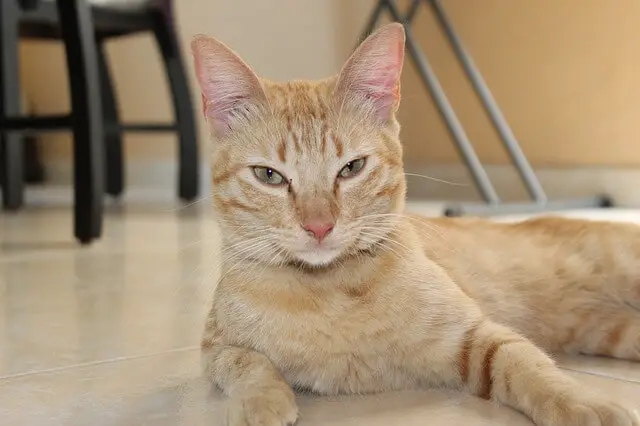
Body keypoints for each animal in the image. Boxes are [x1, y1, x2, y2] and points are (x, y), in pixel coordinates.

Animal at [190, 24, 640, 426]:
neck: (329, 289)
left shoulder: (474, 337)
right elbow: (245, 362)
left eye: (352, 168)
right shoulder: (213, 347)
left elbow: (529, 366)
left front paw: (582, 403)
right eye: (268, 176)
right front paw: (260, 402)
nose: (319, 227)